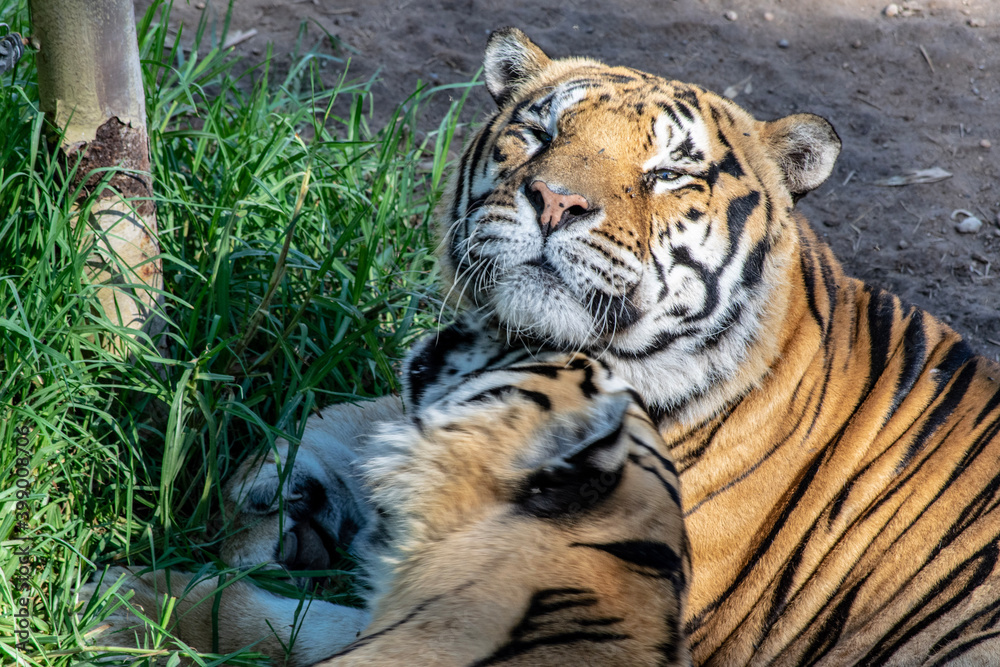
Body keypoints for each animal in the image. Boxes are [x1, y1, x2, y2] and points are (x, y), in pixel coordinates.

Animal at [214, 27, 1000, 666]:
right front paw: (269, 500)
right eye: (538, 133)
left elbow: (264, 621)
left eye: (671, 173)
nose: (556, 202)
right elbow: (335, 422)